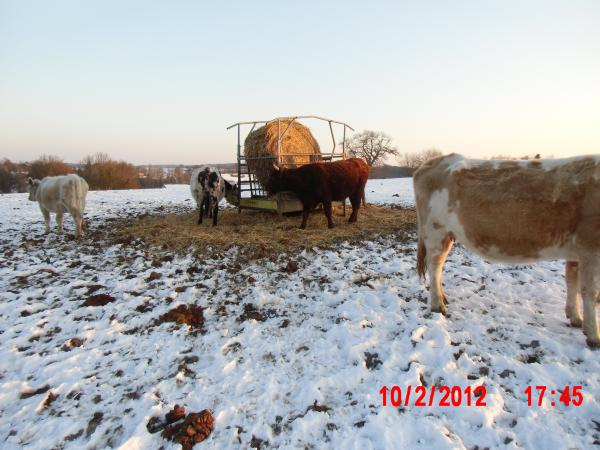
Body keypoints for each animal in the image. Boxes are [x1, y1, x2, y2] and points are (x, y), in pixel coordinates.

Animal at [414, 155, 600, 348]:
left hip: (445, 235)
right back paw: (438, 305)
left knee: (438, 266)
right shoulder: (591, 247)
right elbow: (591, 292)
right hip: (436, 232)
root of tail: (437, 160)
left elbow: (572, 282)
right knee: (434, 266)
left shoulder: (578, 252)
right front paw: (594, 335)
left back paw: (443, 297)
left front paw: (576, 317)